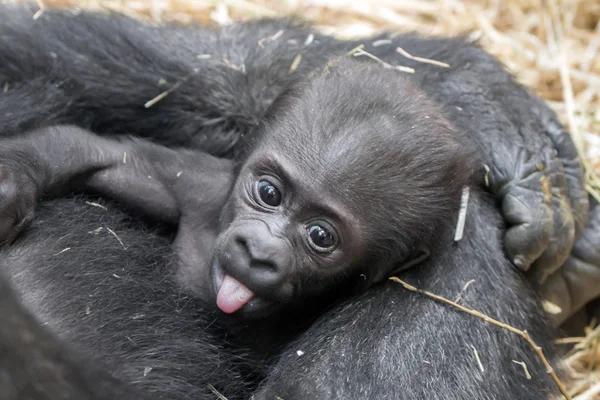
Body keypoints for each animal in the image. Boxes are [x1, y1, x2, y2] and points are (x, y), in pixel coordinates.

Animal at [0, 61, 474, 318]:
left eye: (320, 236)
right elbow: (115, 160)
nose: (258, 253)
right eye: (269, 193)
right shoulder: (201, 186)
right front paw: (15, 177)